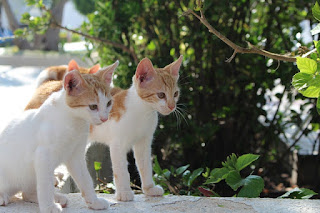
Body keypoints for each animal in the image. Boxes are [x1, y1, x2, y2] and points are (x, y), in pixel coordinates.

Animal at [0, 59, 119, 212]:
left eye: (109, 103)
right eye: (93, 106)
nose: (104, 118)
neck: (74, 122)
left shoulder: (76, 156)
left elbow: (85, 179)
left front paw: (94, 201)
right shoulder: (43, 155)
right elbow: (45, 185)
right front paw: (49, 207)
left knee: (26, 193)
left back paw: (56, 197)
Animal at [27, 55, 184, 201]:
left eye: (175, 94)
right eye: (161, 95)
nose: (172, 106)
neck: (143, 112)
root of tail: (50, 84)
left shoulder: (144, 142)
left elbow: (145, 166)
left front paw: (149, 189)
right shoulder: (117, 144)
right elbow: (121, 169)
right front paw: (124, 193)